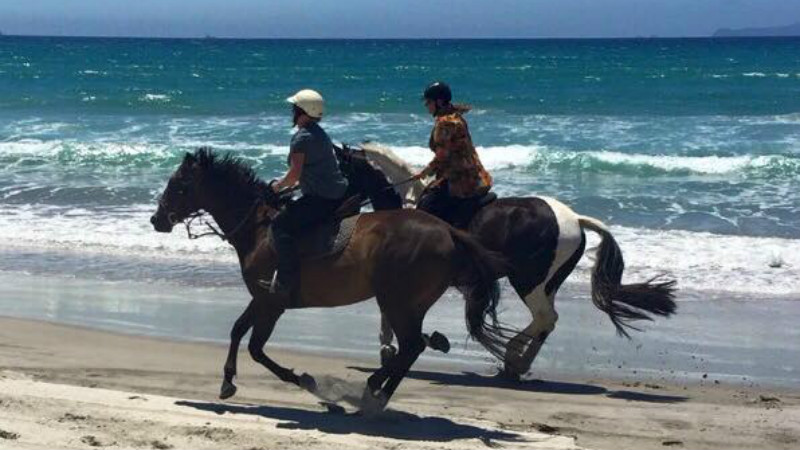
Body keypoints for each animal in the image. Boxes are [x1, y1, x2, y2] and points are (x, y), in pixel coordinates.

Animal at [149, 149, 510, 412]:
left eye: (178, 185)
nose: (156, 219)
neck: (259, 229)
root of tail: (448, 230)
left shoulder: (272, 302)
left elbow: (255, 347)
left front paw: (301, 380)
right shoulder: (262, 299)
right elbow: (238, 331)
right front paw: (228, 381)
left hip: (396, 301)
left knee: (410, 346)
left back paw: (374, 392)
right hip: (410, 303)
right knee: (412, 347)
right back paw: (378, 392)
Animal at [350, 142, 676, 378]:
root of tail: (575, 219)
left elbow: (391, 314)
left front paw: (390, 347)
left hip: (528, 281)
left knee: (545, 318)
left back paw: (512, 358)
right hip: (547, 283)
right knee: (547, 321)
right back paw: (518, 363)